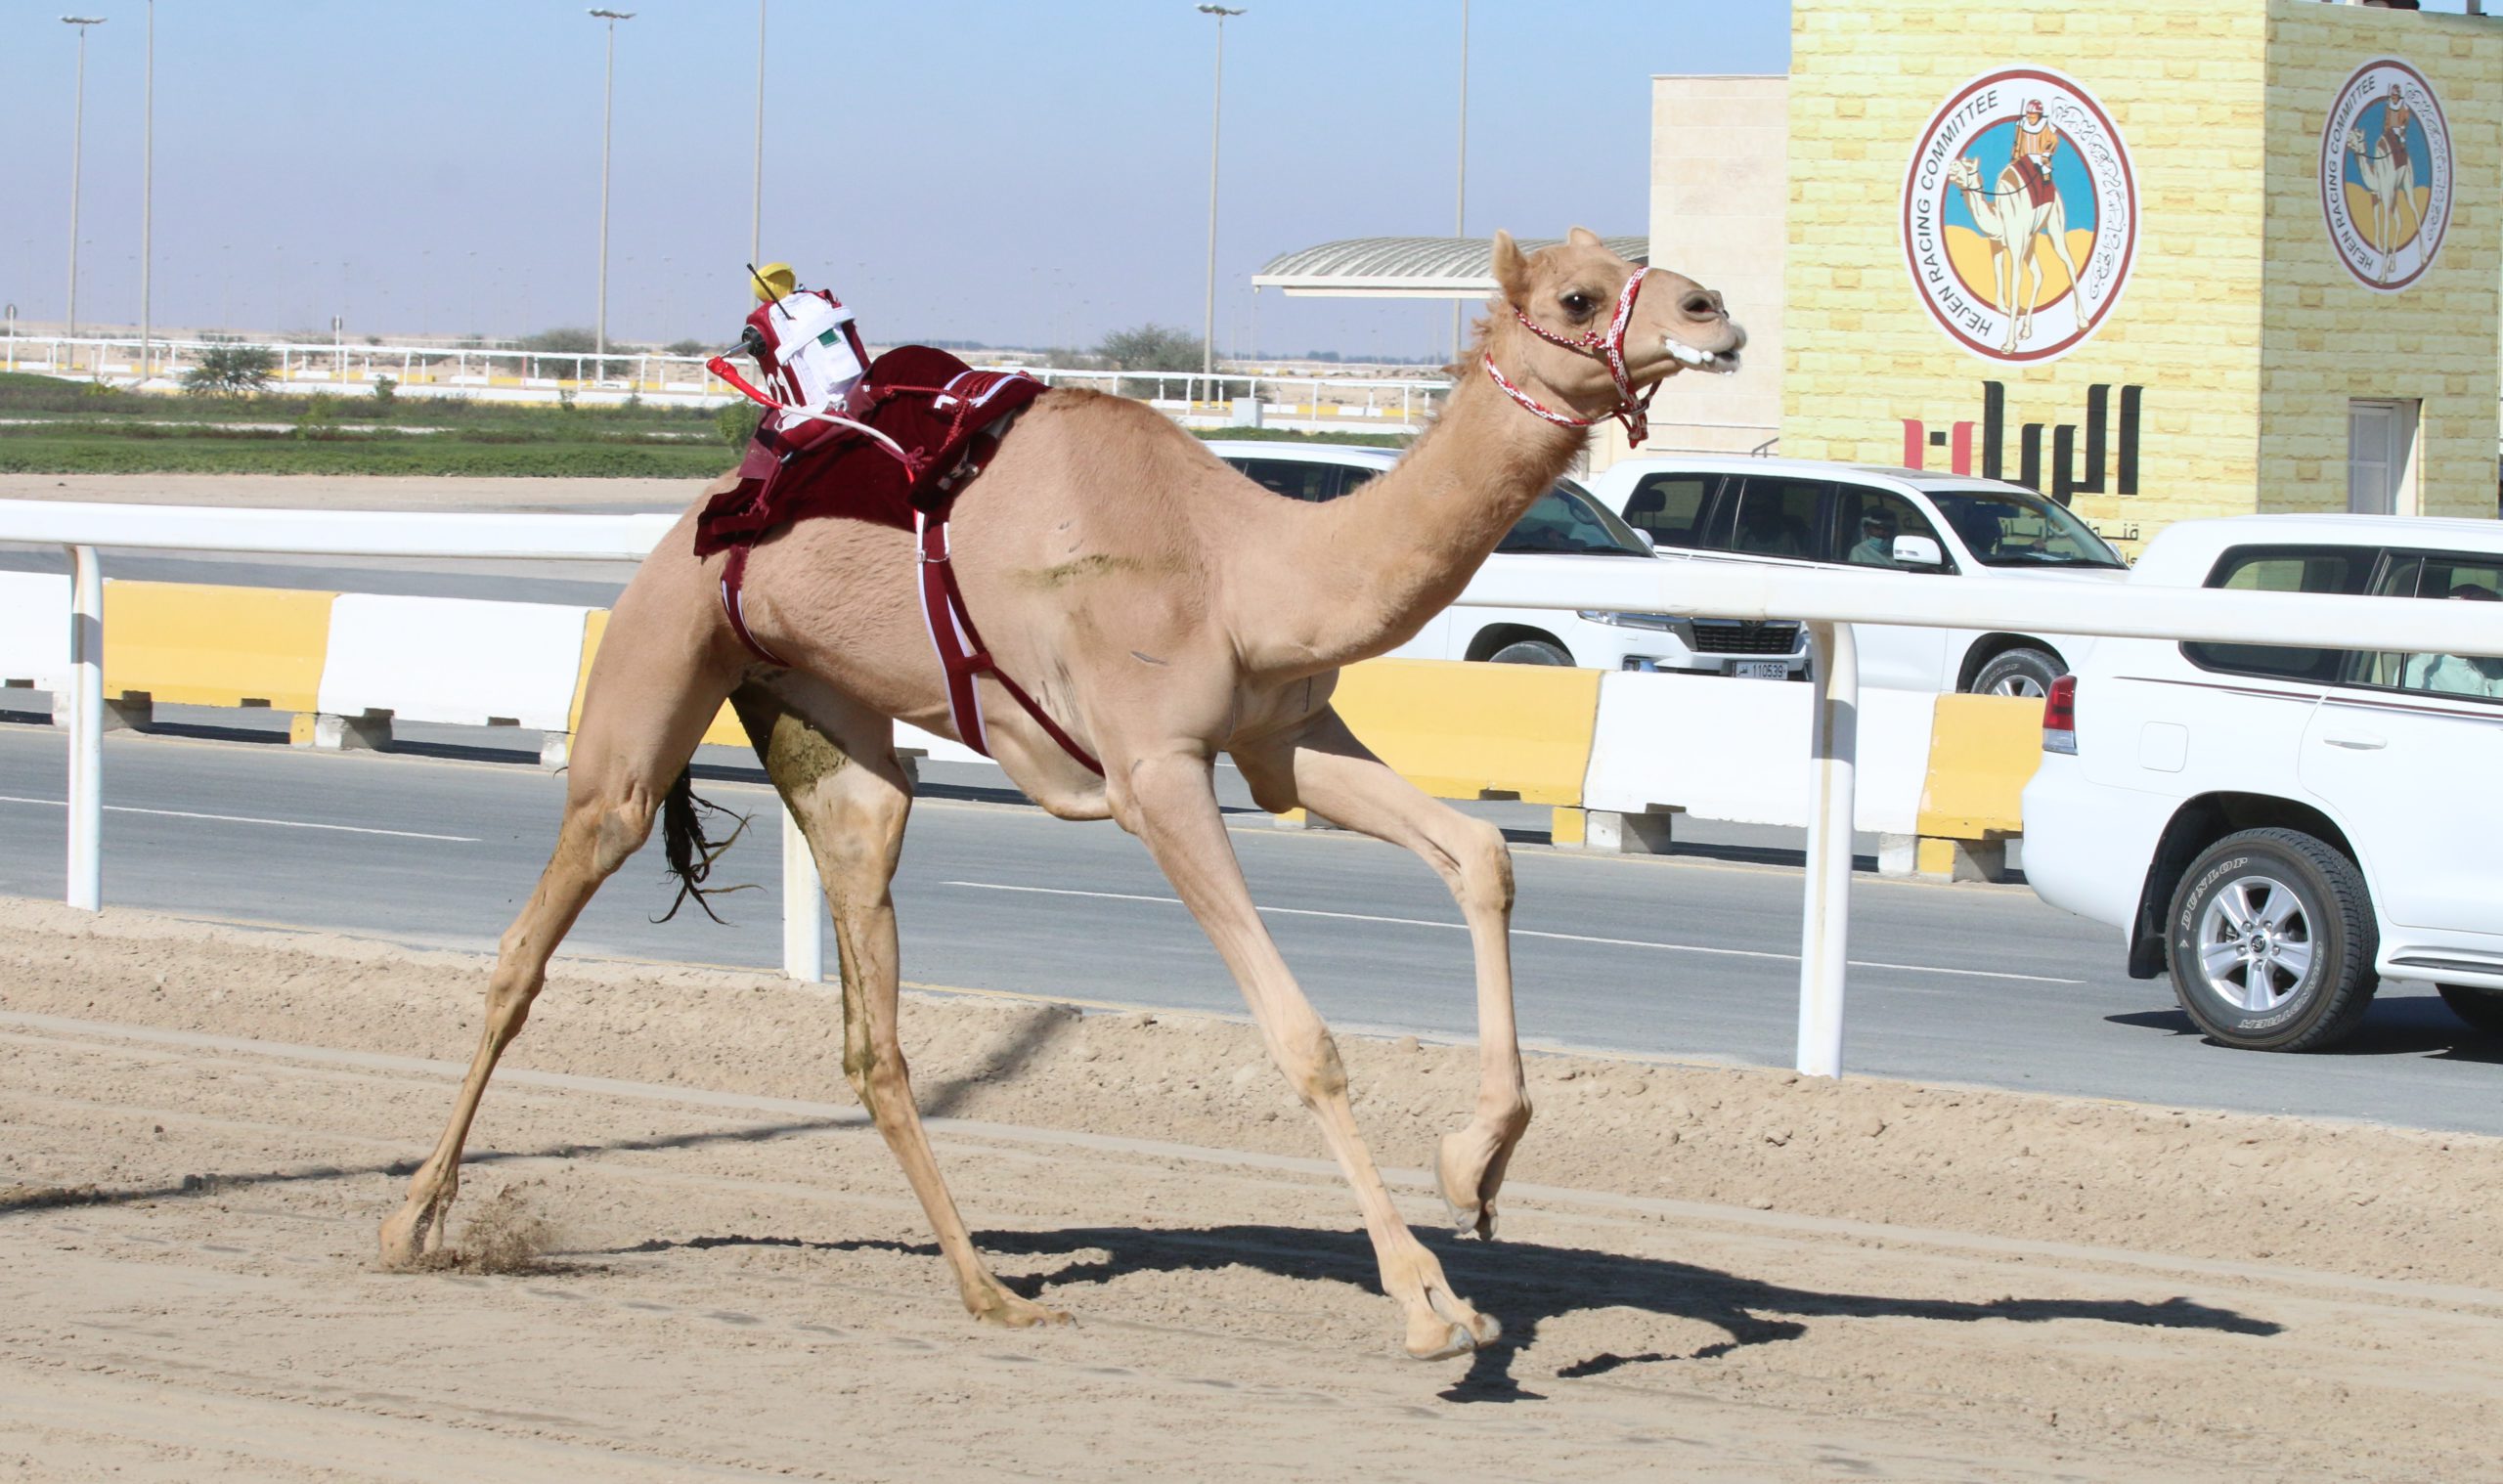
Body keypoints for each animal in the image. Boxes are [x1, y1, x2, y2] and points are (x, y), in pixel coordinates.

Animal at [375, 229, 1741, 1351]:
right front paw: (1428, 1306)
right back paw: (410, 1227)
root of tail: (709, 503)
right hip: (657, 662)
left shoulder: (1285, 739)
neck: (1246, 563)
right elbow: (1302, 1037)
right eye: (1578, 293)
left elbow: (1481, 857)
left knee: (872, 1029)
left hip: (834, 739)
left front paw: (1475, 1170)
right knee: (528, 943)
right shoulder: (1156, 774)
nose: (1717, 310)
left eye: (1638, 260)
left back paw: (990, 1289)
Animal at [1932, 155, 2092, 352]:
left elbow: (2015, 296)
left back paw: (2083, 321)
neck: (1999, 217)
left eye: (1968, 165)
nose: (1952, 164)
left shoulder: (2016, 249)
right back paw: (2026, 330)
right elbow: (1999, 281)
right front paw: (2009, 314)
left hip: (2054, 221)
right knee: (2038, 274)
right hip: (2031, 238)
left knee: (2068, 263)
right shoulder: (1996, 245)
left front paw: (2008, 344)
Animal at [2332, 127, 2412, 280]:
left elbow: (2386, 229)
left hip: (2406, 184)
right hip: (2394, 197)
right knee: (2399, 222)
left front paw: (2382, 276)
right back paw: (2392, 265)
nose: (2347, 140)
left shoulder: (2386, 198)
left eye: (2358, 136)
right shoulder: (2374, 197)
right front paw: (2381, 251)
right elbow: (2376, 222)